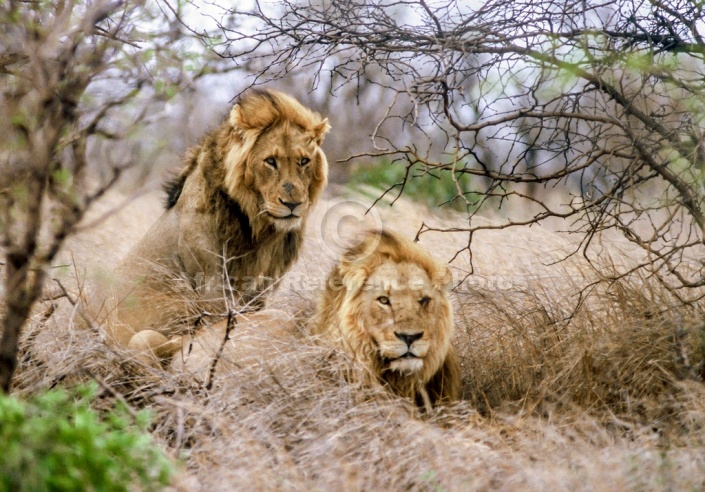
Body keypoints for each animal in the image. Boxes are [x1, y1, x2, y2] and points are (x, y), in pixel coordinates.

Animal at [105, 90, 330, 362]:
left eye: (304, 161)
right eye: (271, 161)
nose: (293, 204)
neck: (257, 226)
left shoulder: (258, 291)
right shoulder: (211, 285)